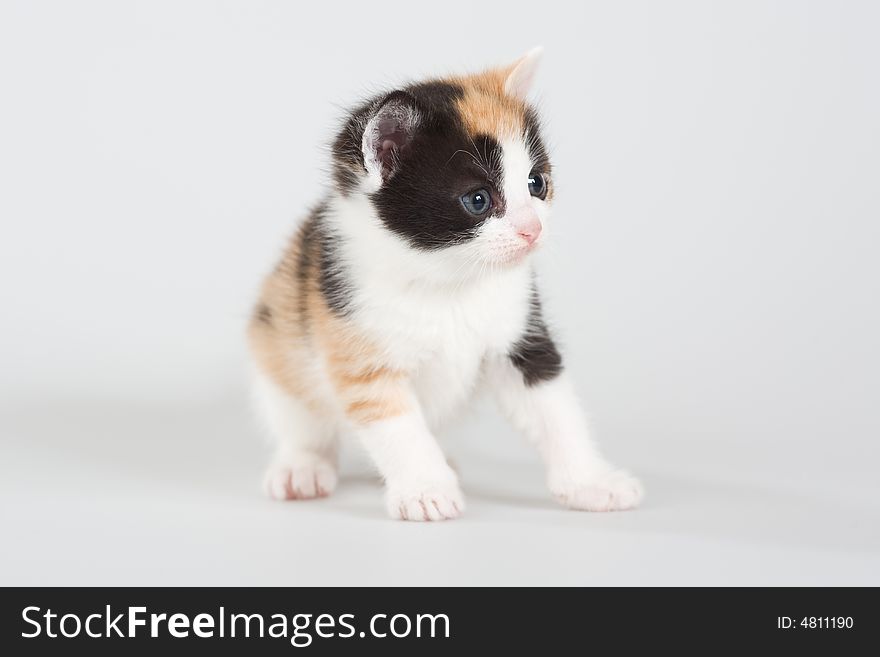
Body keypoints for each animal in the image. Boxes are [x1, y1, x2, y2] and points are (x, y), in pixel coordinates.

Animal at [248, 48, 640, 520]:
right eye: (478, 200)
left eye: (537, 183)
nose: (533, 230)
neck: (449, 277)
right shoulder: (355, 342)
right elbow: (395, 424)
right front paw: (425, 490)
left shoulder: (522, 338)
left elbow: (555, 409)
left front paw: (590, 482)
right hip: (278, 334)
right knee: (299, 416)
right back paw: (302, 466)